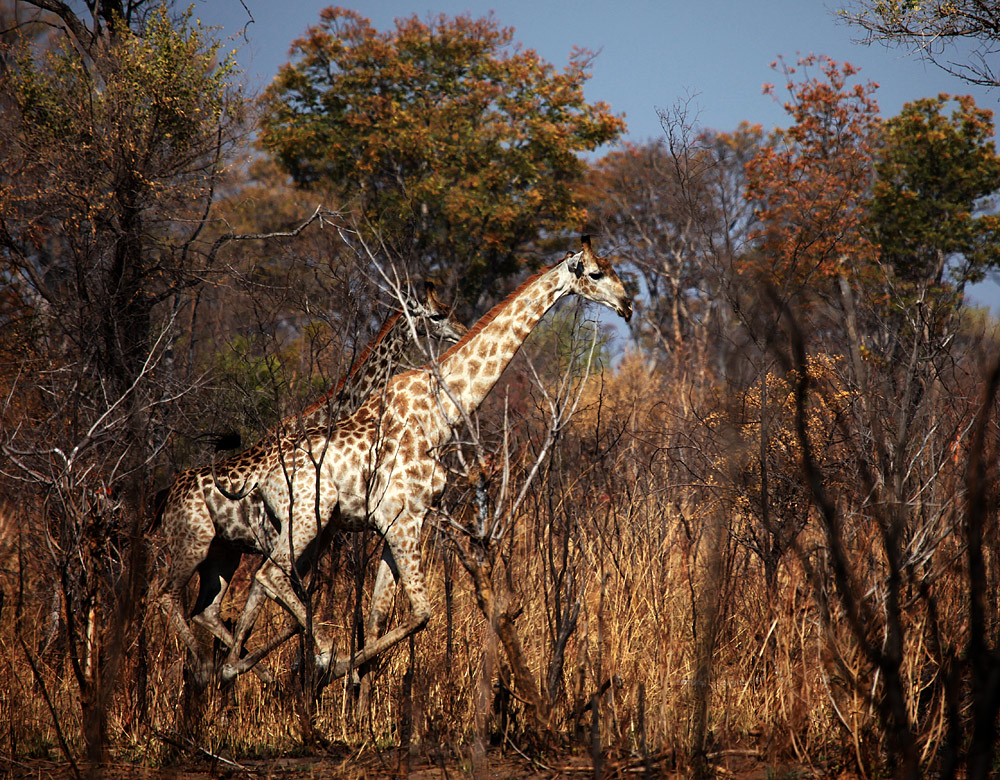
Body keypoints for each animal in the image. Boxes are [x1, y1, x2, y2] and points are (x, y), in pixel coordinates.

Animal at [157, 284, 468, 684]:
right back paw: (210, 666)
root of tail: (164, 498)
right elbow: (277, 598)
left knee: (206, 609)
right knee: (167, 596)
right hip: (190, 545)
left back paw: (243, 673)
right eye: (437, 315)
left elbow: (280, 603)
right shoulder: (281, 535)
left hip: (223, 552)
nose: (462, 331)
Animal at [217, 238, 632, 684]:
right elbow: (421, 613)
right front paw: (341, 667)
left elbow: (378, 618)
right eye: (596, 273)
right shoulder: (403, 519)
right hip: (307, 518)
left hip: (309, 527)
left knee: (263, 588)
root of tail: (260, 477)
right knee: (268, 575)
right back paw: (317, 657)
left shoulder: (394, 524)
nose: (627, 306)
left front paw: (357, 688)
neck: (438, 415)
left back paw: (236, 668)